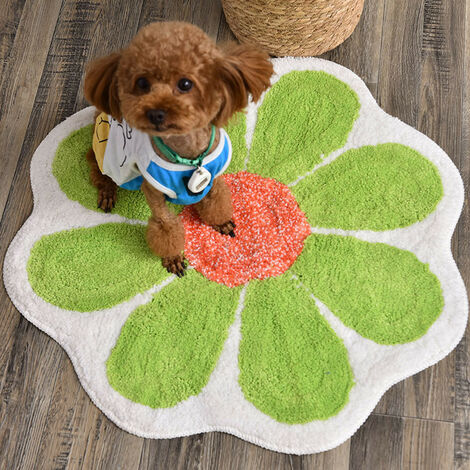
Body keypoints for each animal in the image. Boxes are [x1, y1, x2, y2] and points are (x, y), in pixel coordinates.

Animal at [84, 22, 272, 278]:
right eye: (142, 83)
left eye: (185, 84)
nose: (155, 113)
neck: (187, 154)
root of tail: (99, 114)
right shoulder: (152, 190)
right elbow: (165, 226)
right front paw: (173, 257)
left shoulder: (214, 175)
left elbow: (217, 199)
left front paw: (221, 222)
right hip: (112, 160)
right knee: (97, 169)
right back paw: (107, 193)